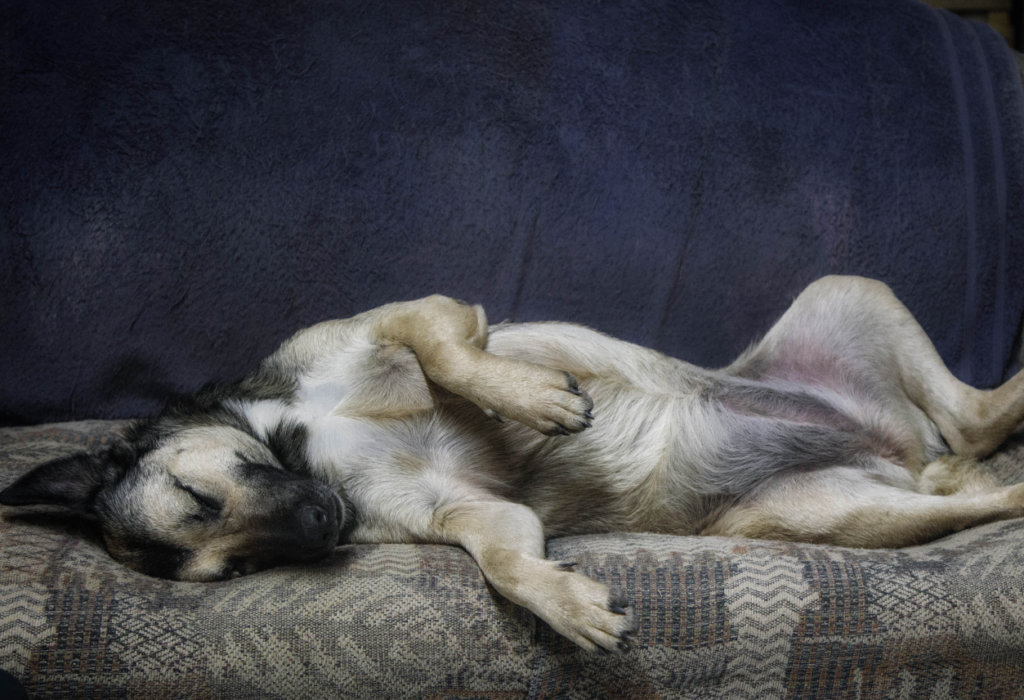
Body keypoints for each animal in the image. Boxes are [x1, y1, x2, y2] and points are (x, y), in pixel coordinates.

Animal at [2, 276, 1024, 654]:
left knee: (976, 419)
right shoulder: (469, 513)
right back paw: (979, 477)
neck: (298, 442)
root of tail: (901, 451)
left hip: (848, 295)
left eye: (199, 490)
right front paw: (565, 603)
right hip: (838, 512)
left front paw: (532, 399)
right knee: (974, 476)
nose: (326, 525)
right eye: (235, 570)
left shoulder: (426, 314)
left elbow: (447, 351)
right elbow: (503, 560)